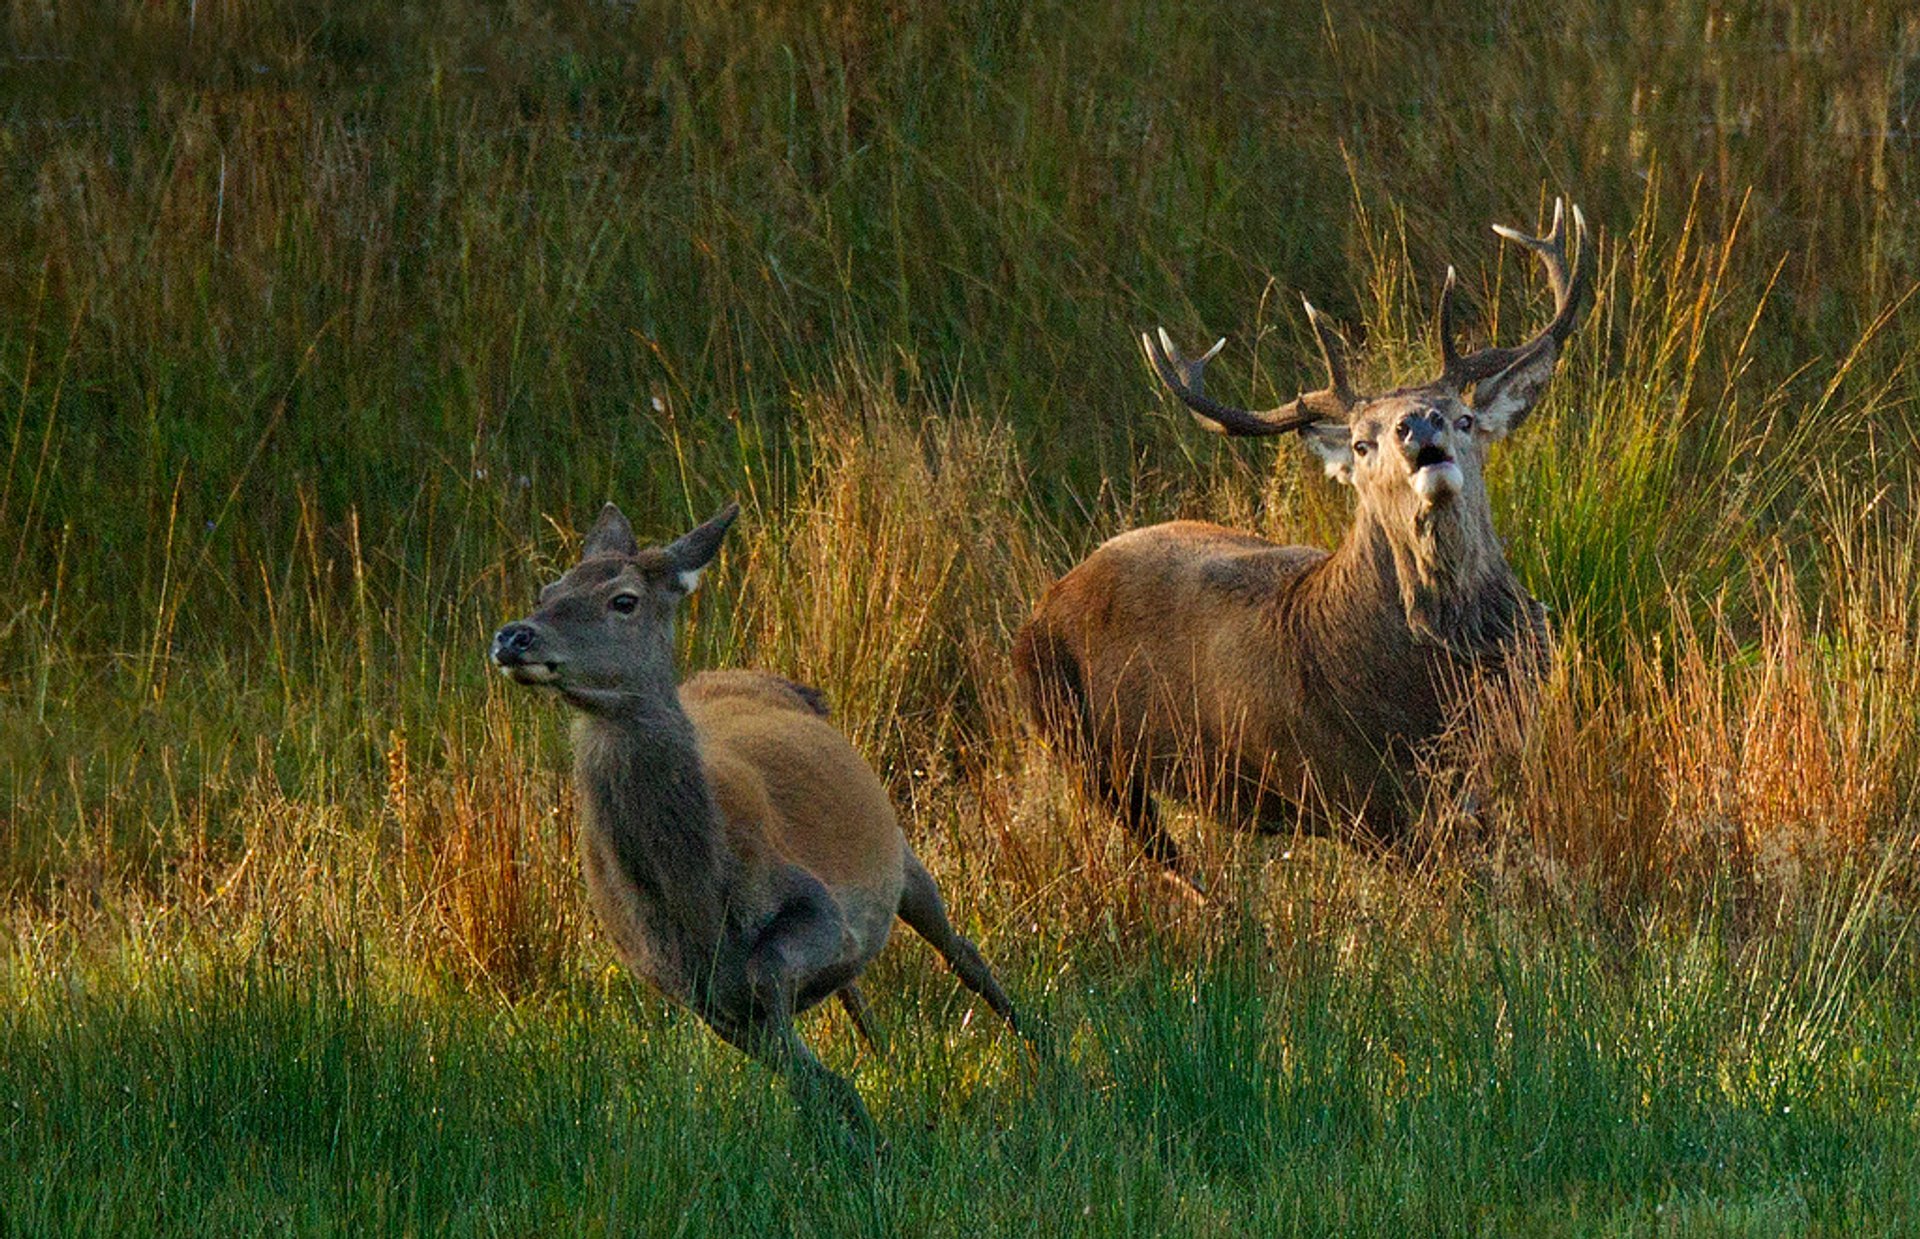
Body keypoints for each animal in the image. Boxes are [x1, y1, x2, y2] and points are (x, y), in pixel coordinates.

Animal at [499, 499, 1036, 1137]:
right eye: (547, 589)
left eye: (623, 599)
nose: (514, 636)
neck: (696, 897)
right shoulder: (694, 992)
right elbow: (795, 1063)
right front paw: (851, 1118)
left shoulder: (816, 907)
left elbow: (774, 976)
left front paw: (858, 1122)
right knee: (862, 991)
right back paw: (886, 1060)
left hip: (902, 857)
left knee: (962, 951)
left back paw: (1048, 1054)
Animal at [1021, 200, 1589, 887]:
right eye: (1363, 443)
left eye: (1464, 417)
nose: (1416, 425)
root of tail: (1046, 601)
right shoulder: (1363, 801)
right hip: (1081, 748)